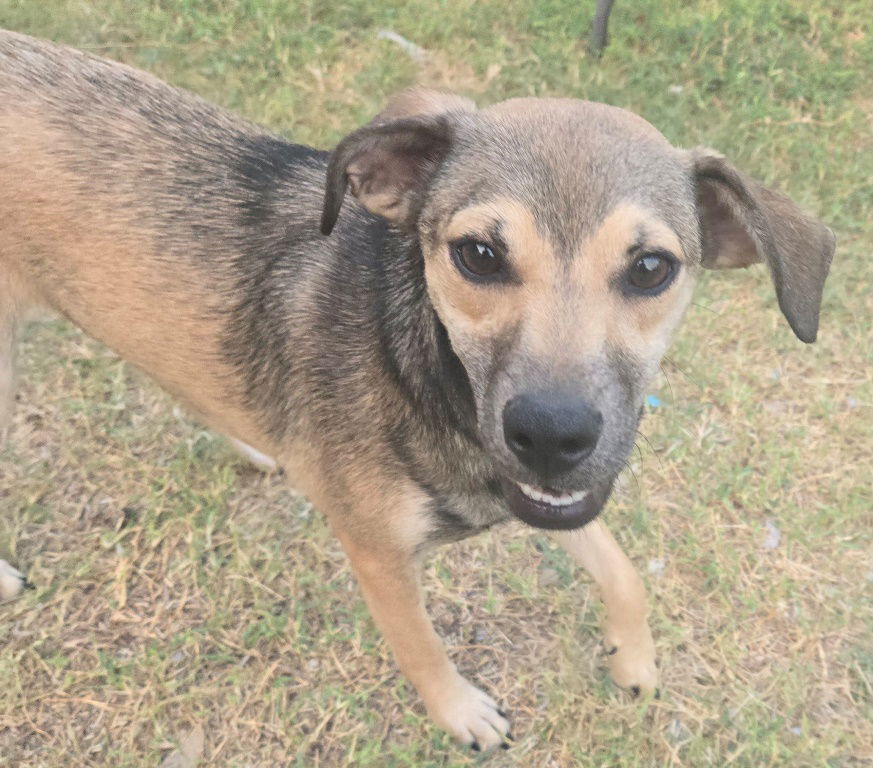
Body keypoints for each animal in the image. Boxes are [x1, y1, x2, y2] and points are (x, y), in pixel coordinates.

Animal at [0, 30, 832, 752]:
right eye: (478, 254)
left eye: (651, 268)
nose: (552, 434)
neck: (416, 369)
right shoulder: (378, 553)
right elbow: (422, 646)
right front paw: (461, 713)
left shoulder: (535, 489)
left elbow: (622, 571)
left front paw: (634, 657)